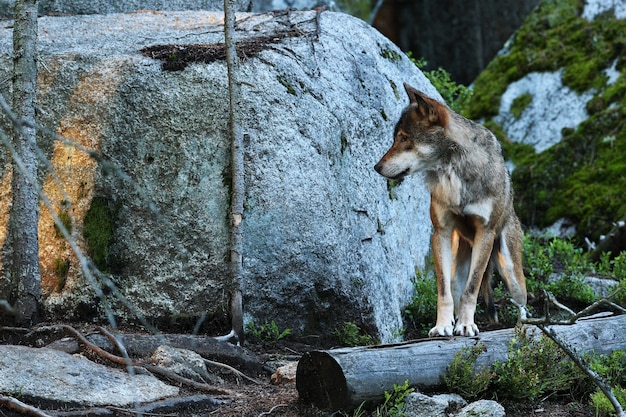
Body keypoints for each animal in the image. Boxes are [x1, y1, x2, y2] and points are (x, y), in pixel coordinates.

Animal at [372, 83, 524, 336]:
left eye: (404, 138)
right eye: (396, 138)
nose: (376, 167)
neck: (453, 172)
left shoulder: (485, 233)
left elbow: (472, 290)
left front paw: (467, 326)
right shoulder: (440, 233)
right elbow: (443, 293)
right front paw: (442, 326)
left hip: (510, 271)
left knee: (522, 302)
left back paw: (525, 325)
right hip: (457, 262)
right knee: (455, 290)